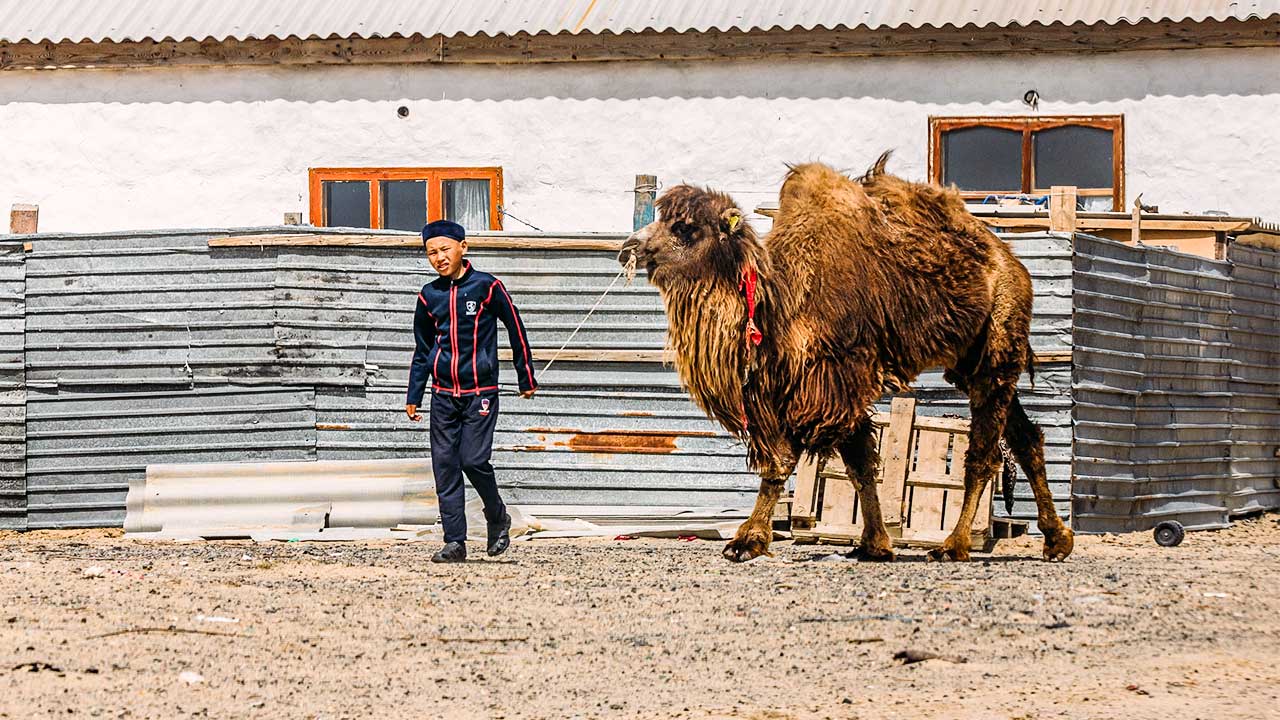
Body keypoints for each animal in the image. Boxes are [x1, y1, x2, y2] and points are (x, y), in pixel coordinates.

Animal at [616, 155, 1070, 561]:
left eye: (686, 228)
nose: (629, 247)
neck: (780, 302)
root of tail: (1008, 258)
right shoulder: (806, 387)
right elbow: (859, 464)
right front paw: (875, 544)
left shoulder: (831, 379)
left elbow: (786, 461)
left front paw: (746, 542)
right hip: (968, 362)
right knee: (1025, 438)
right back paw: (1056, 541)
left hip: (999, 338)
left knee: (983, 452)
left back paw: (953, 546)